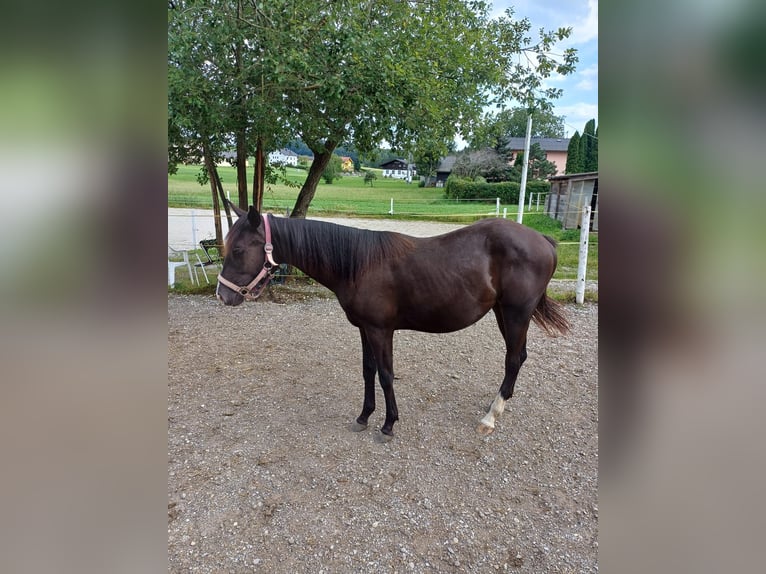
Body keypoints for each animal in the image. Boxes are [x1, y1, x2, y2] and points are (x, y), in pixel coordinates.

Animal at [216, 206, 568, 440]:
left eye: (238, 249)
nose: (223, 294)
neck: (358, 264)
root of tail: (543, 240)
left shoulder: (380, 330)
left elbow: (386, 375)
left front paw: (388, 424)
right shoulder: (364, 329)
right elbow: (368, 371)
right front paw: (364, 416)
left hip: (516, 312)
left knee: (513, 359)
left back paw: (491, 416)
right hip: (502, 312)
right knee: (518, 357)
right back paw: (500, 403)